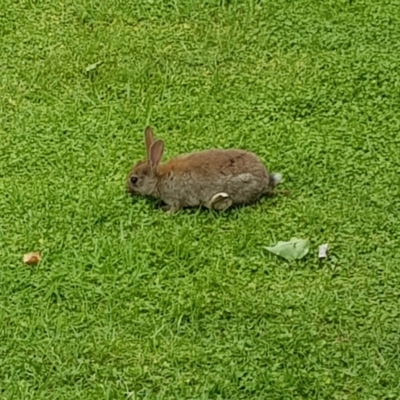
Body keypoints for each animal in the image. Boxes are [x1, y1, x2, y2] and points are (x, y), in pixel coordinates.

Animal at [126, 126, 282, 212]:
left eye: (134, 180)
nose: (127, 190)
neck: (158, 179)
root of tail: (265, 181)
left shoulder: (175, 198)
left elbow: (175, 208)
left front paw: (164, 212)